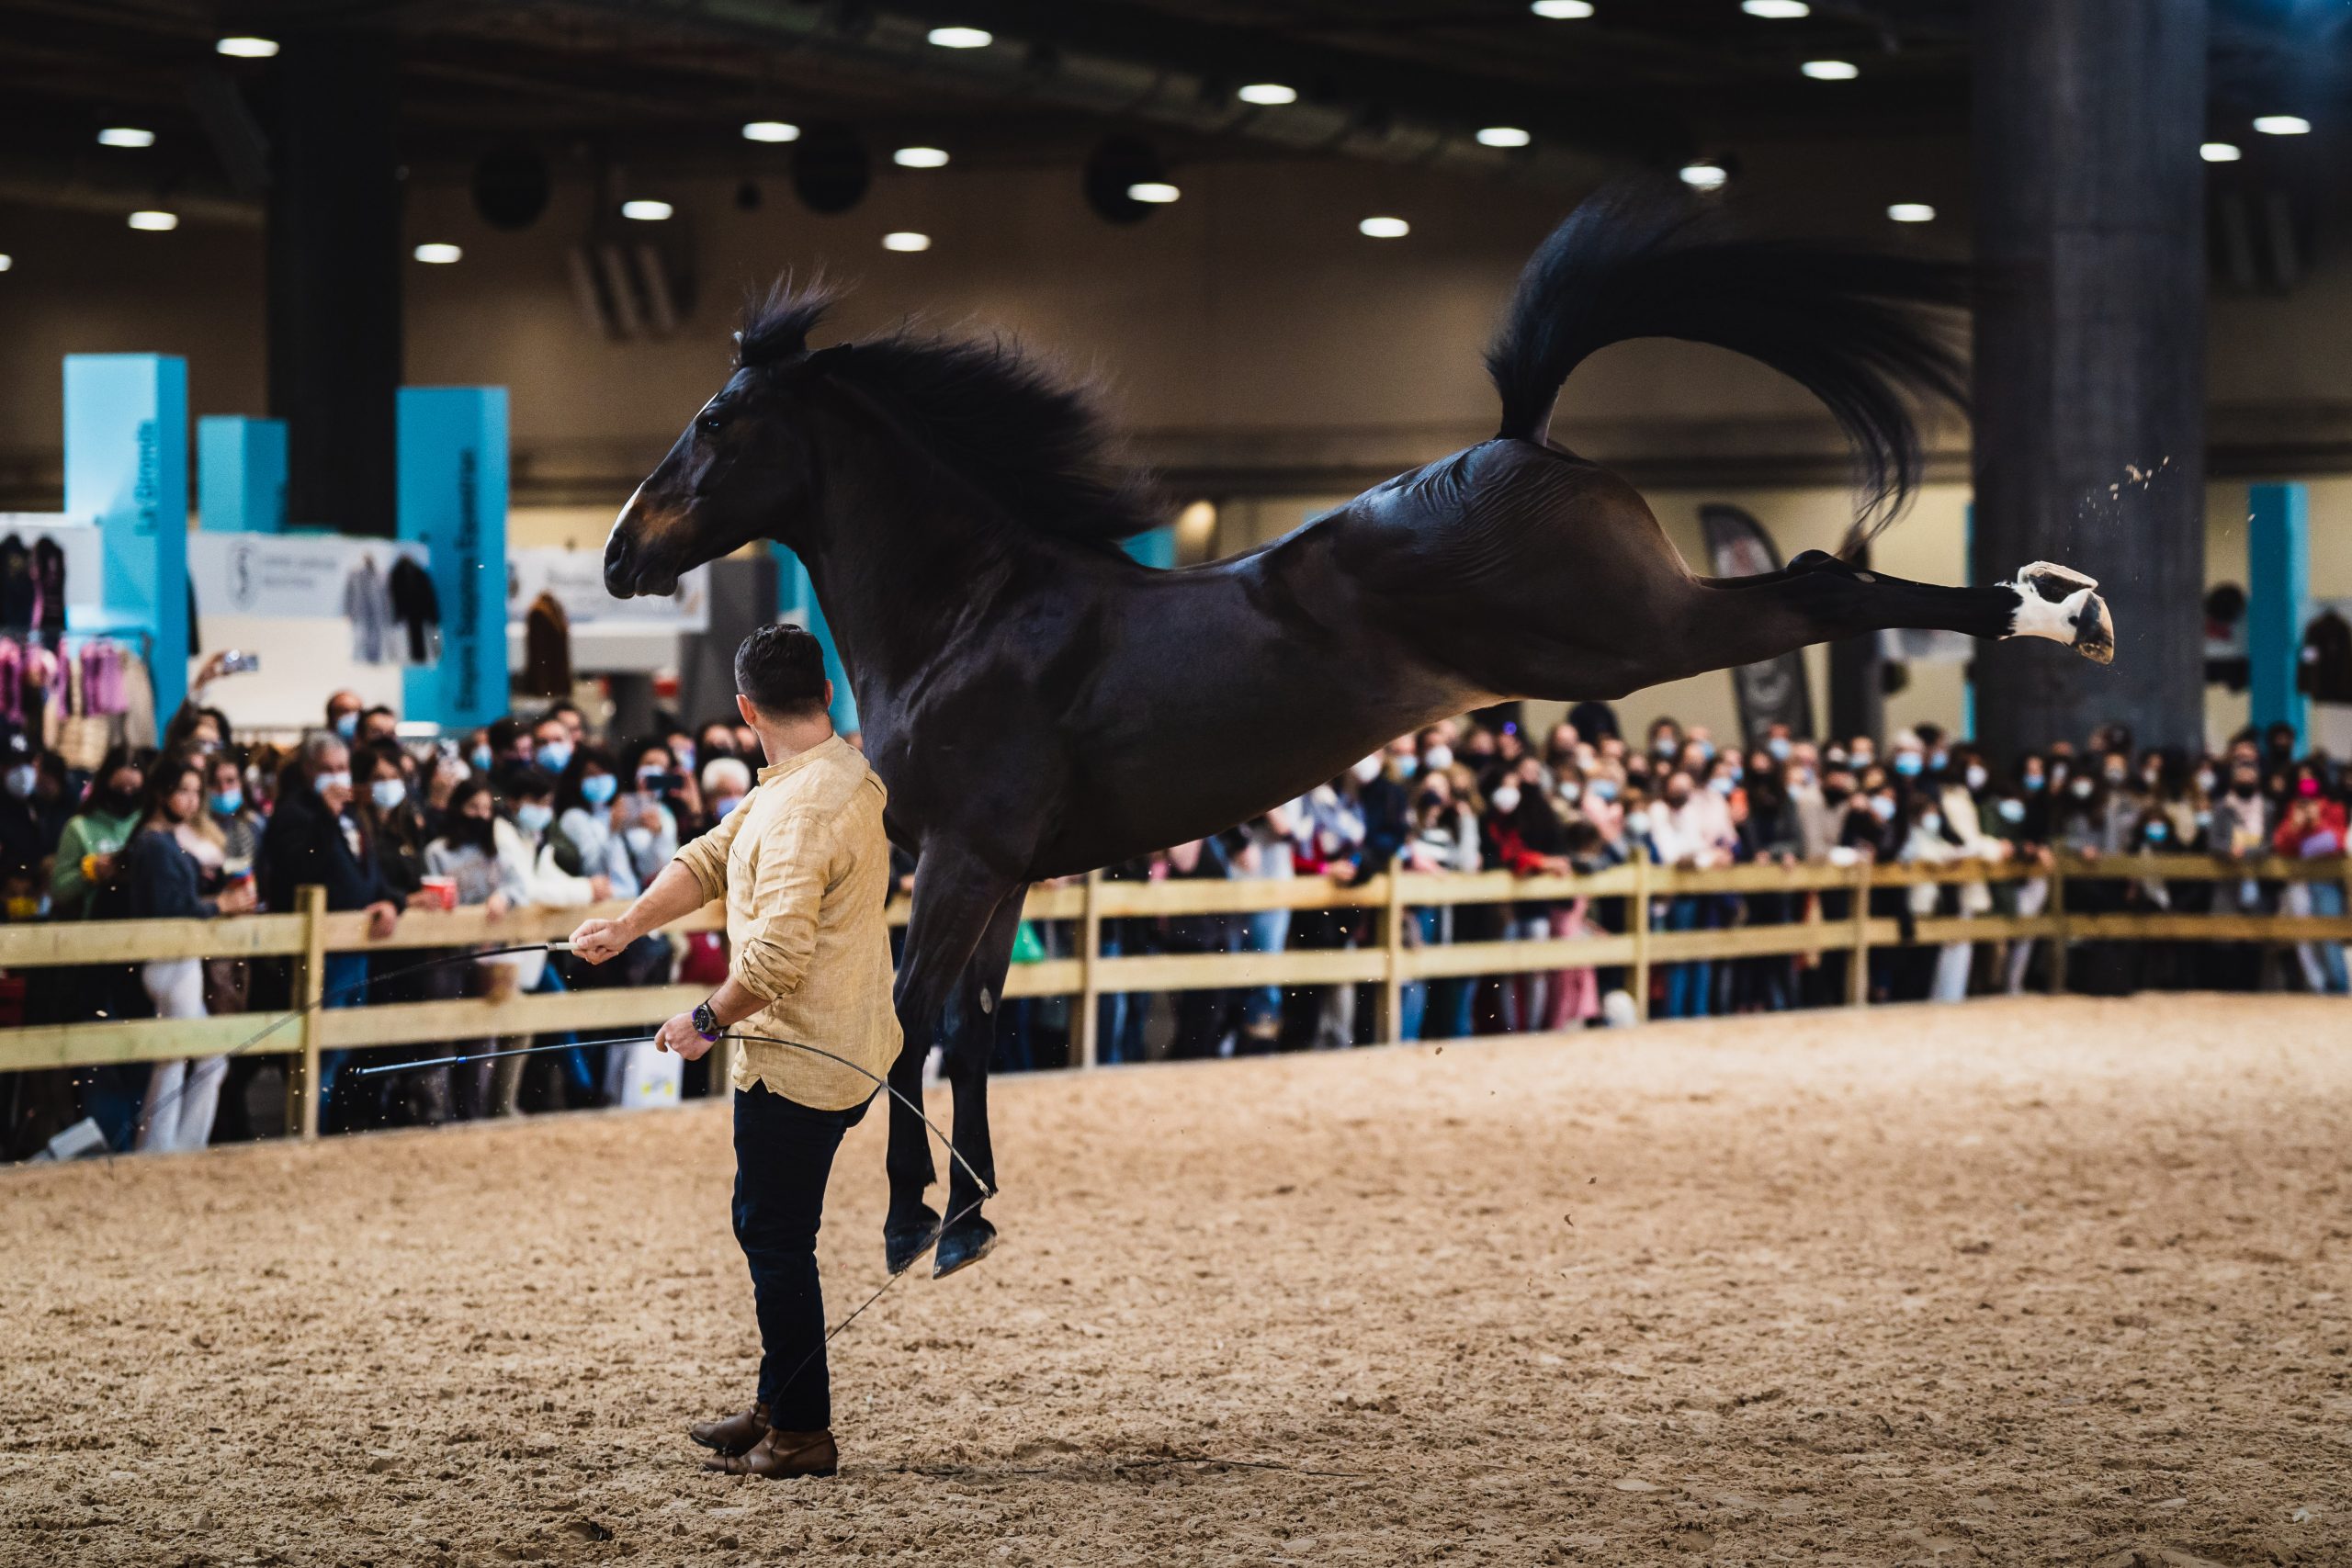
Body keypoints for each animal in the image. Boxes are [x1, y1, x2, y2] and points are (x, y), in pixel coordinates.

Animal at [602, 186, 2117, 1288]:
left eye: (719, 422)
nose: (620, 553)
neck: (972, 609)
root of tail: (1520, 438)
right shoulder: (1009, 867)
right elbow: (972, 1028)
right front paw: (968, 1218)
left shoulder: (967, 854)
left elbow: (911, 1020)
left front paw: (910, 1219)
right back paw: (2067, 607)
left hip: (1630, 635)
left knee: (1821, 579)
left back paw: (2059, 610)